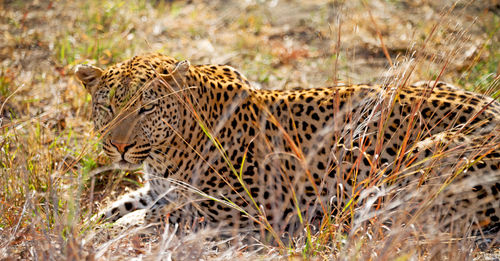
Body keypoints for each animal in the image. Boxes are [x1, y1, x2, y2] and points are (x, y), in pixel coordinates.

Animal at [74, 52, 500, 244]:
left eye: (146, 108)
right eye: (108, 105)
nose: (119, 146)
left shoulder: (242, 210)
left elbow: (156, 217)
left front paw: (115, 231)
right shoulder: (159, 189)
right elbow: (119, 206)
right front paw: (89, 224)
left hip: (424, 157)